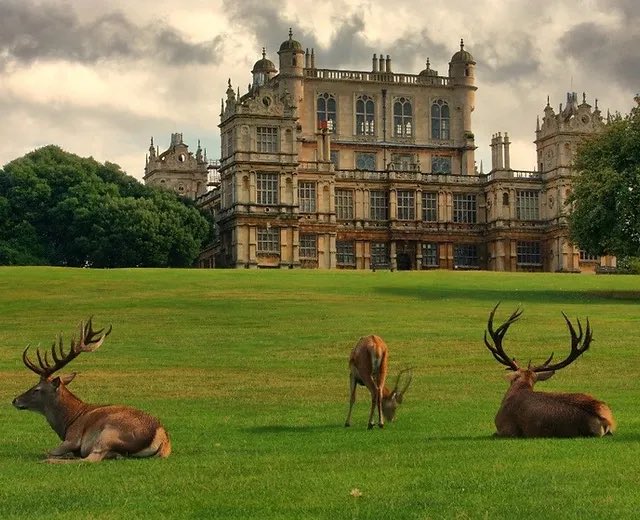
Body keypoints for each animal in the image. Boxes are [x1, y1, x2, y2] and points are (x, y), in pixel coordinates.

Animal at [12, 318, 172, 462]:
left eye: (37, 389)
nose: (15, 400)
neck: (68, 422)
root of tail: (162, 438)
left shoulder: (73, 438)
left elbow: (50, 451)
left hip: (108, 434)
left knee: (91, 458)